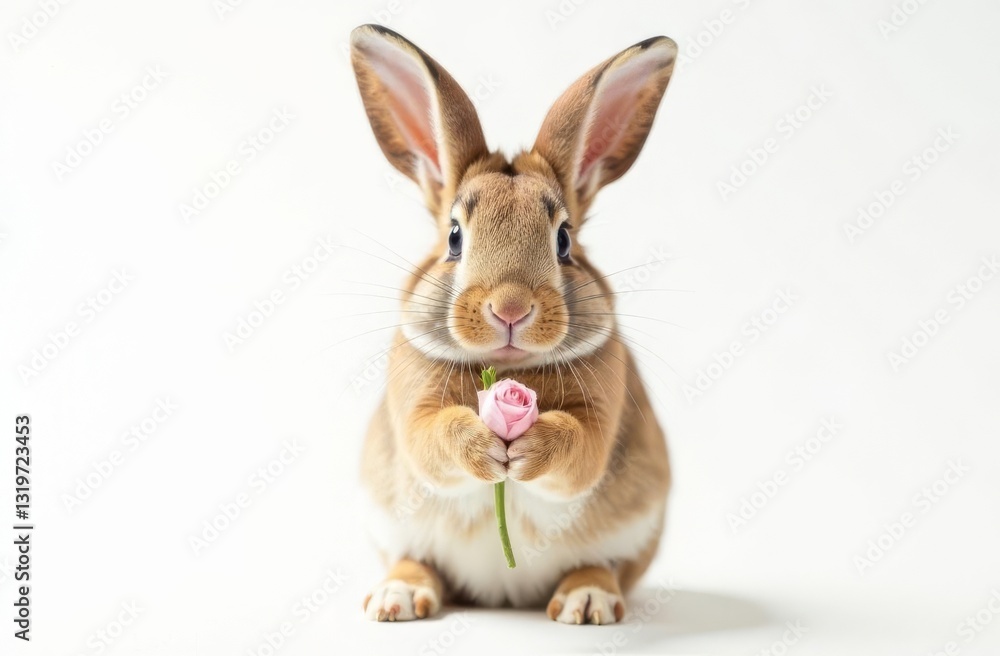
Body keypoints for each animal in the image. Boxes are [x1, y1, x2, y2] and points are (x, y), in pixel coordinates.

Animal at [350, 24, 677, 624]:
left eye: (564, 240)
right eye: (455, 237)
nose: (510, 308)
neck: (506, 367)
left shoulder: (603, 408)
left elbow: (579, 446)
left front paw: (525, 451)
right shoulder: (413, 405)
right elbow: (435, 436)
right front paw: (486, 445)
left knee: (605, 567)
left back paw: (586, 601)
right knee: (415, 560)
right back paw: (396, 597)